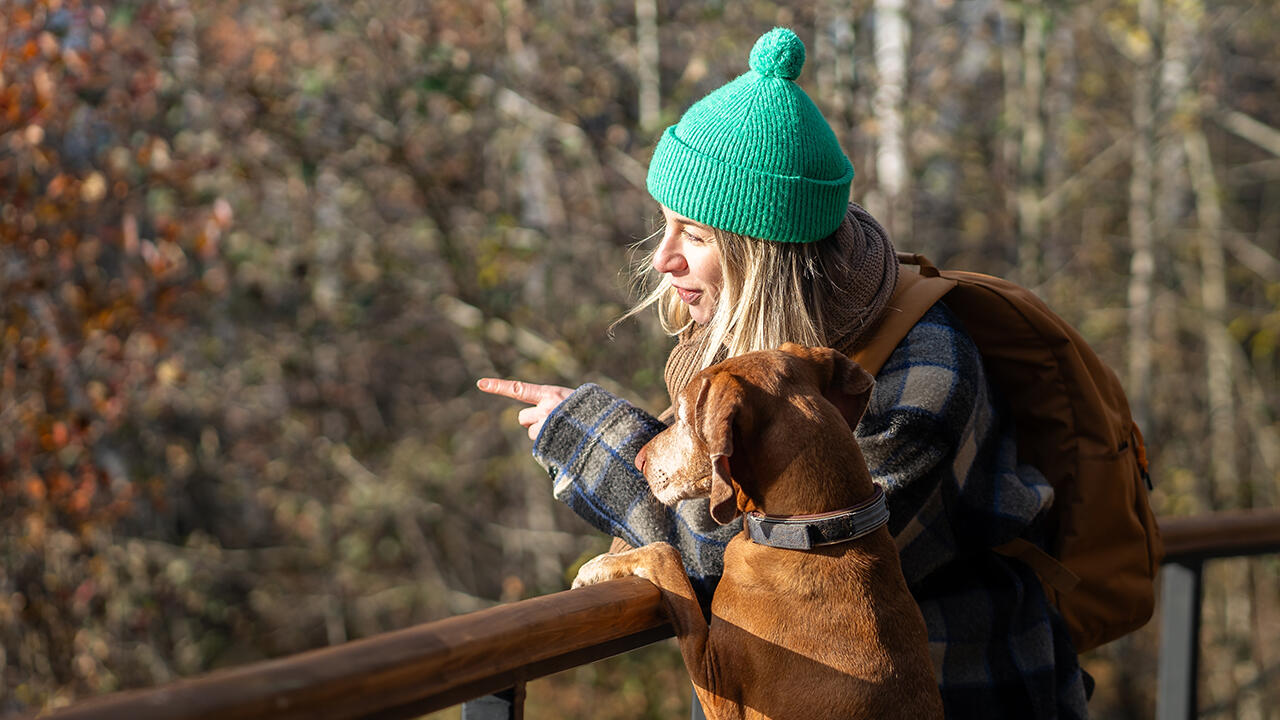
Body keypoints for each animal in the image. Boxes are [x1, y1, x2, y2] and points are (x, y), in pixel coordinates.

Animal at [570, 345, 942, 712]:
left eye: (683, 416)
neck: (816, 530)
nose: (639, 461)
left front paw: (596, 566)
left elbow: (667, 556)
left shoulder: (717, 686)